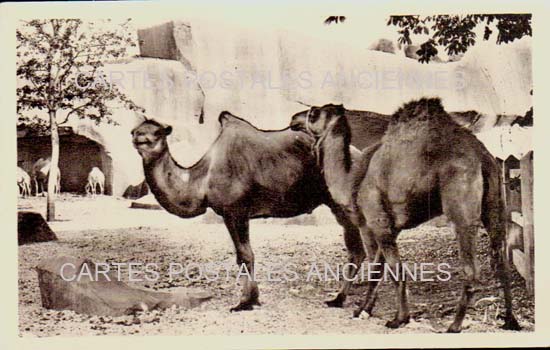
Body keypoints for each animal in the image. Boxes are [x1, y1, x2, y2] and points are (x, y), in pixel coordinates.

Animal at [132, 113, 368, 312]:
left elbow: (245, 255)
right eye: (135, 130)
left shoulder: (235, 211)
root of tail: (360, 156)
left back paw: (339, 299)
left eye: (158, 132)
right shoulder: (233, 214)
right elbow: (244, 255)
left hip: (343, 203)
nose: (140, 139)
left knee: (358, 249)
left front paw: (244, 302)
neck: (202, 179)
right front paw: (252, 299)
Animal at [292, 99, 524, 334]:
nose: (294, 119)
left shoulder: (375, 223)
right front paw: (364, 309)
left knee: (471, 268)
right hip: (495, 204)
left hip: (461, 206)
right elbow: (378, 270)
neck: (351, 181)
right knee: (502, 262)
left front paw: (398, 319)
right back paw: (510, 321)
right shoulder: (388, 228)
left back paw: (454, 326)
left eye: (313, 113)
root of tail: (481, 157)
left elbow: (394, 270)